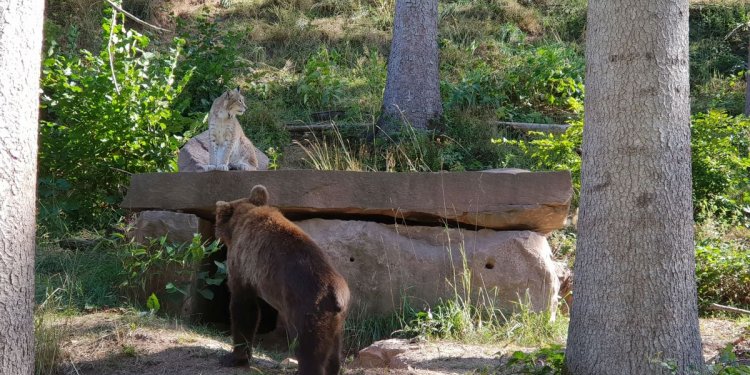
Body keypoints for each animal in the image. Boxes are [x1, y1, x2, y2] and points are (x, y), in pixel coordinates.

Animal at [214, 186, 350, 375]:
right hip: (337, 322)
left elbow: (244, 309)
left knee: (309, 350)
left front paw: (234, 357)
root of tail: (337, 296)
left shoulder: (243, 266)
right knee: (333, 353)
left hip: (307, 310)